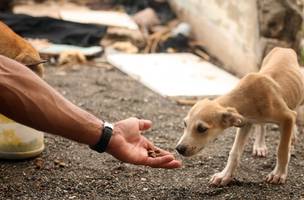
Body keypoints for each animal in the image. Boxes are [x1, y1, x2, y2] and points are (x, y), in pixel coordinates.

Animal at [176, 47, 304, 186]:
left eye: (202, 129)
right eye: (185, 124)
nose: (179, 149)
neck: (247, 96)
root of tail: (284, 48)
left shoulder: (287, 117)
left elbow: (282, 150)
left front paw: (278, 174)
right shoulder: (245, 122)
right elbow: (234, 153)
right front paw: (225, 175)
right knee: (262, 125)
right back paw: (260, 146)